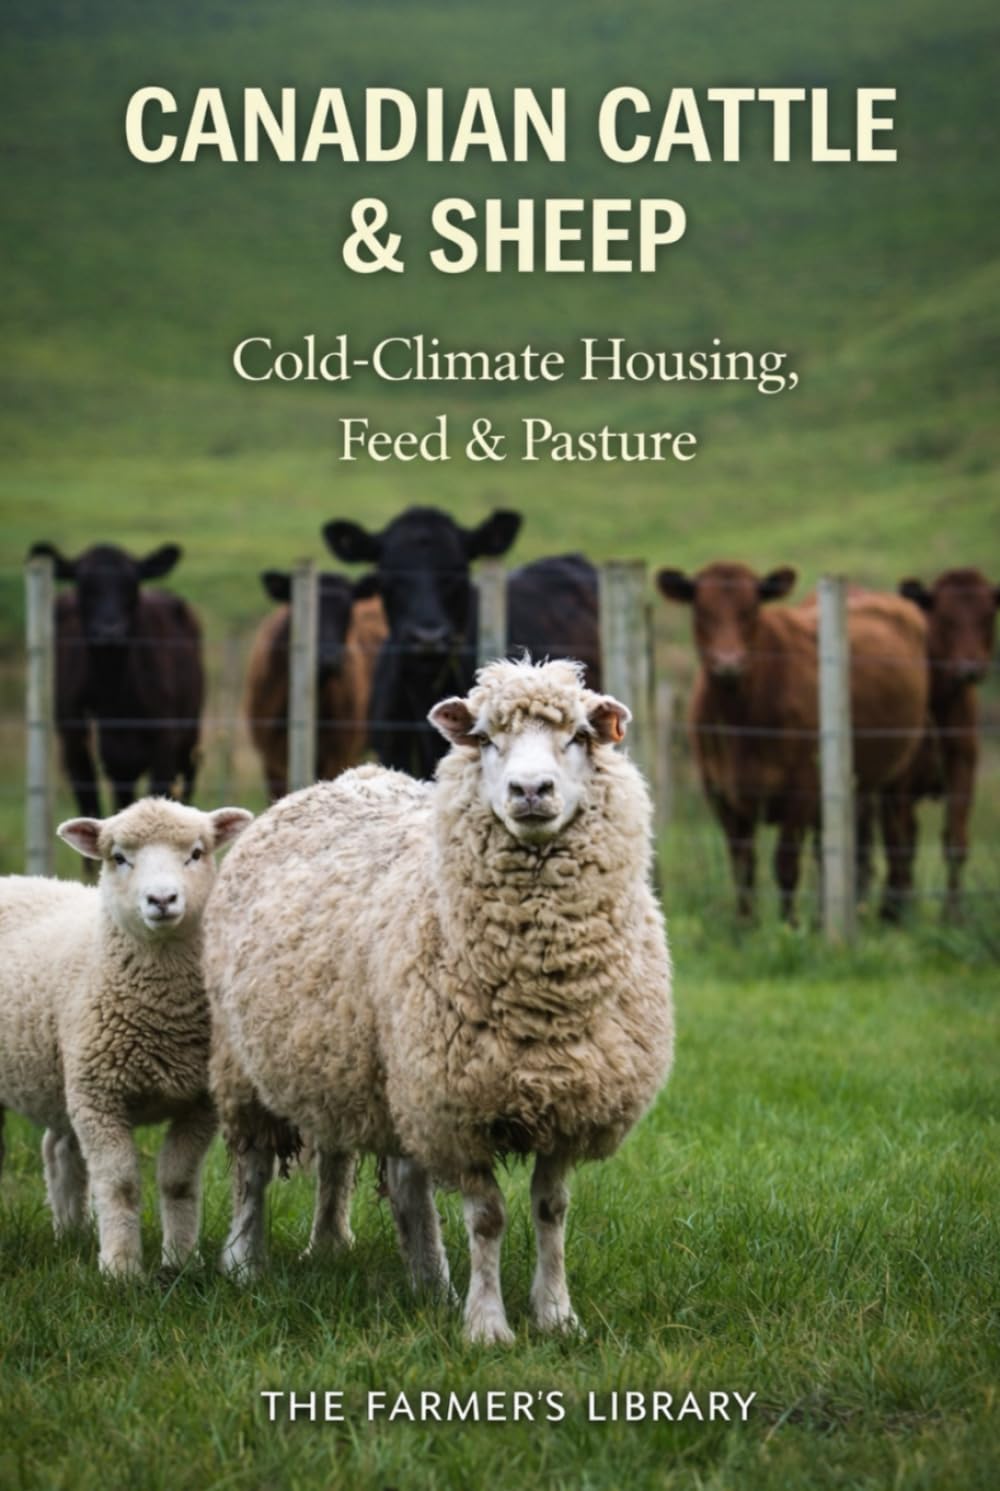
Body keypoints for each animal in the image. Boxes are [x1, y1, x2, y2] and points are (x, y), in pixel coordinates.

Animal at [0, 797, 253, 1276]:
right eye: (118, 858)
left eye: (196, 853)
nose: (162, 899)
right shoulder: (99, 1098)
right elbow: (119, 1184)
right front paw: (120, 1269)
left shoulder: (199, 1103)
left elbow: (176, 1181)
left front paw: (180, 1261)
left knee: (58, 1150)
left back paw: (72, 1233)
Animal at [28, 541, 203, 821]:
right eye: (84, 585)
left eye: (132, 584)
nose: (109, 631)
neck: (115, 695)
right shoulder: (75, 744)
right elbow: (90, 803)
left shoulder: (165, 741)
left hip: (190, 735)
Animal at [206, 657, 673, 1343]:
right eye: (484, 739)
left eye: (580, 737)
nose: (530, 791)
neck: (541, 993)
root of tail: (346, 779)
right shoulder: (458, 1108)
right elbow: (488, 1219)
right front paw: (486, 1325)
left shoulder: (567, 1099)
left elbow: (551, 1211)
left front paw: (556, 1315)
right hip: (247, 1065)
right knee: (253, 1166)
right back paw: (244, 1263)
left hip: (354, 1060)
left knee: (357, 1164)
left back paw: (375, 1260)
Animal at [656, 561, 928, 922]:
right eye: (701, 610)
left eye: (751, 610)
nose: (728, 663)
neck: (740, 721)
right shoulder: (719, 792)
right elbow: (742, 864)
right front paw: (746, 924)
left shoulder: (801, 789)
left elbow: (785, 865)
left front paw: (789, 924)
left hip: (899, 773)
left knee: (899, 837)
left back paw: (892, 913)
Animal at [891, 568, 1000, 918]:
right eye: (946, 618)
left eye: (987, 616)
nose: (970, 669)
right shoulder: (900, 782)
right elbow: (902, 842)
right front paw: (902, 912)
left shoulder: (963, 766)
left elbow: (955, 840)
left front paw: (953, 914)